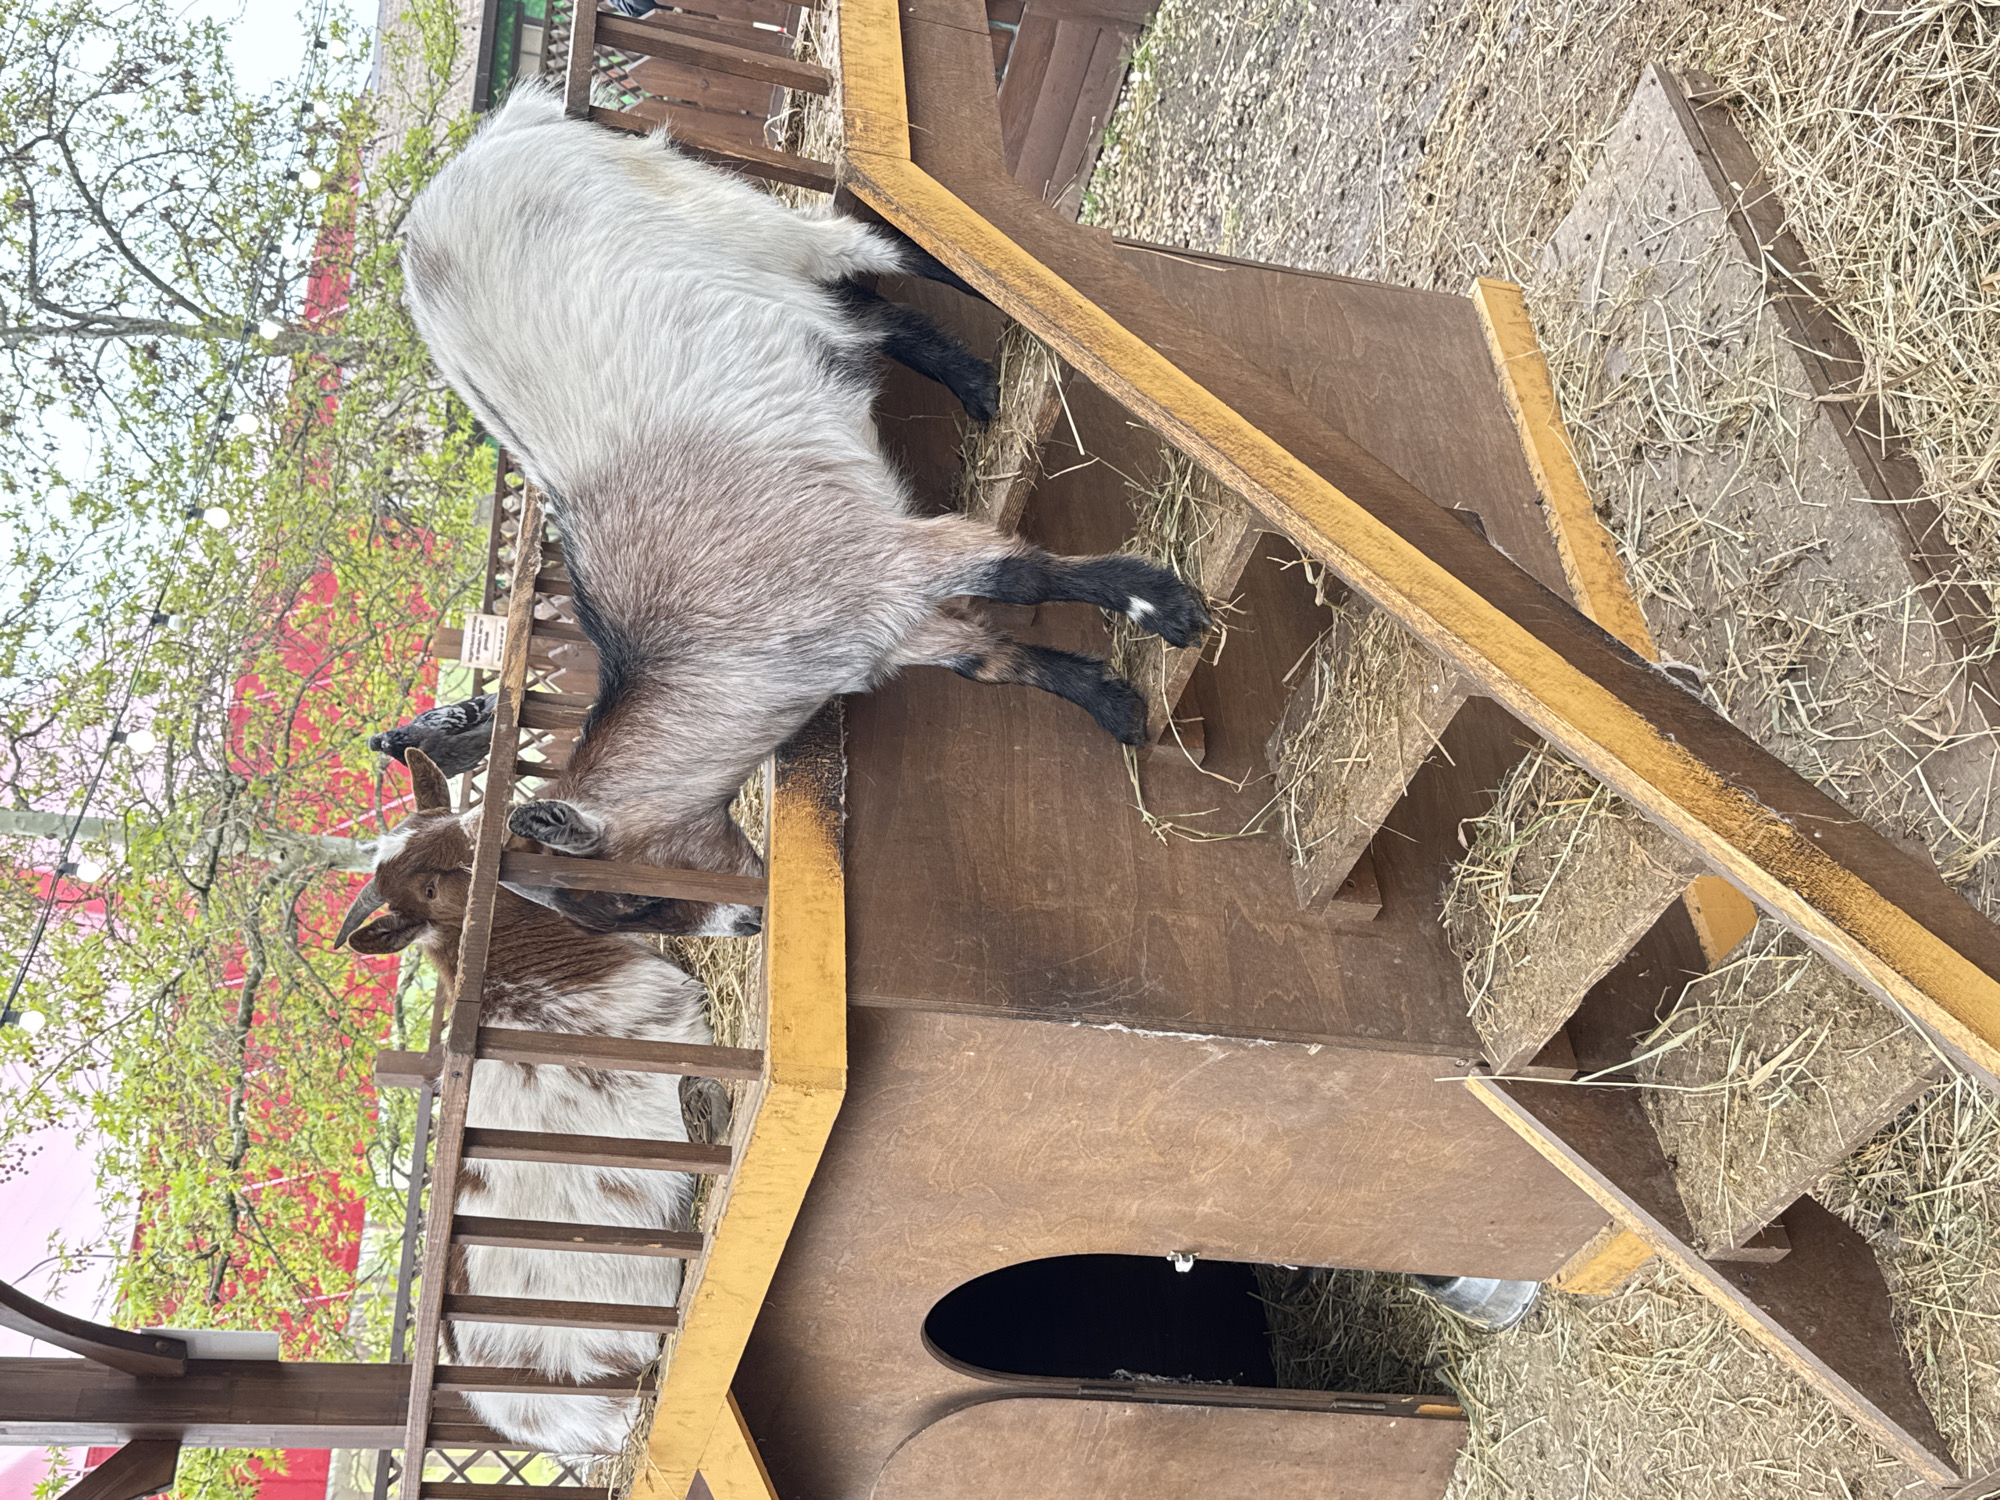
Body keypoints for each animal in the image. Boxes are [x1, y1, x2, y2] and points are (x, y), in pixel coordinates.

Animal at [391, 84, 1210, 937]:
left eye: (636, 897)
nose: (748, 925)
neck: (715, 656)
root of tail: (496, 137)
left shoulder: (881, 558)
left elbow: (1017, 576)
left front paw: (1164, 607)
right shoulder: (876, 627)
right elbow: (985, 662)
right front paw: (1112, 703)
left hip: (727, 214)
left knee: (871, 249)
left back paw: (1006, 290)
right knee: (865, 317)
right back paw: (976, 381)